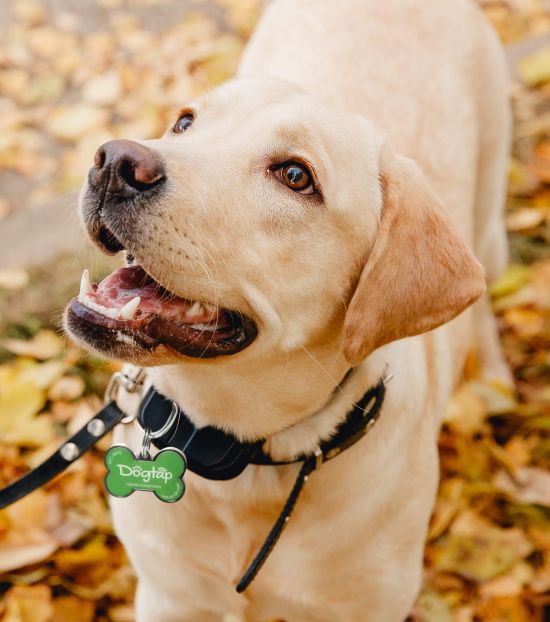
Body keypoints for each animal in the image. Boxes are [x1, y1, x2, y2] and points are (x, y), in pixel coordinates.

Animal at [66, 1, 512, 622]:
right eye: (185, 123)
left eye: (296, 176)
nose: (114, 161)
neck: (236, 452)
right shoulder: (167, 594)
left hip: (490, 217)